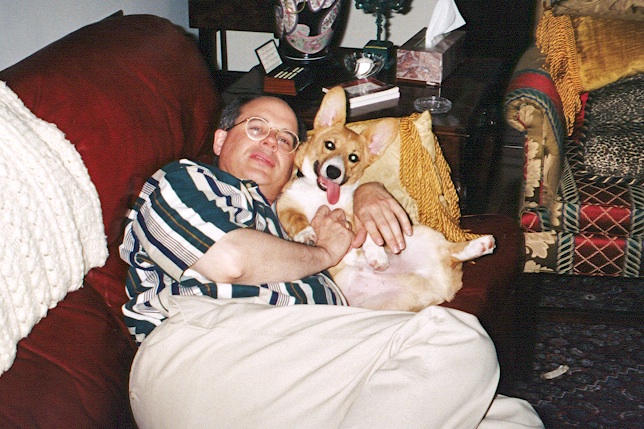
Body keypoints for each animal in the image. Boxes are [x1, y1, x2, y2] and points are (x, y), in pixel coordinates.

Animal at [276, 86, 496, 311]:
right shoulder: (285, 205)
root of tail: (442, 281)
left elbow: (369, 234)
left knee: (452, 250)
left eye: (353, 158)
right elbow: (296, 219)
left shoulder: (357, 214)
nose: (333, 172)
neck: (322, 195)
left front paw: (377, 256)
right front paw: (306, 235)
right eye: (329, 145)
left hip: (415, 234)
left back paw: (482, 244)